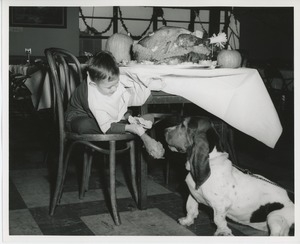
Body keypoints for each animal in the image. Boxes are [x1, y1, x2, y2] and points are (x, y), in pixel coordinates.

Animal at [164, 117, 292, 235]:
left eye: (183, 125)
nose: (165, 130)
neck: (212, 163)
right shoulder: (193, 194)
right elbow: (190, 207)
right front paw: (187, 221)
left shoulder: (220, 205)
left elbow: (218, 220)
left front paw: (223, 232)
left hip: (274, 217)